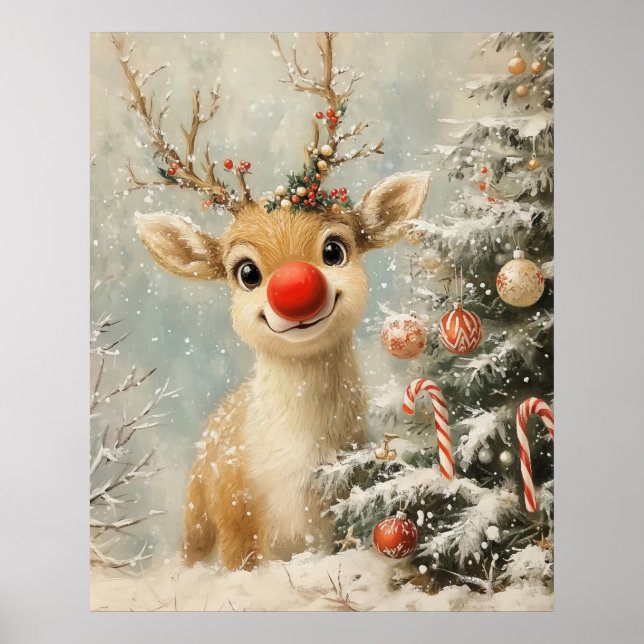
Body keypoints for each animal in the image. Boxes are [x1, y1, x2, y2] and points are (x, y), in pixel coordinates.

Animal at [112, 32, 430, 570]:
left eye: (334, 249)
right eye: (246, 272)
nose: (296, 292)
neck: (298, 470)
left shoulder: (336, 515)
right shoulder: (234, 512)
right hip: (196, 522)